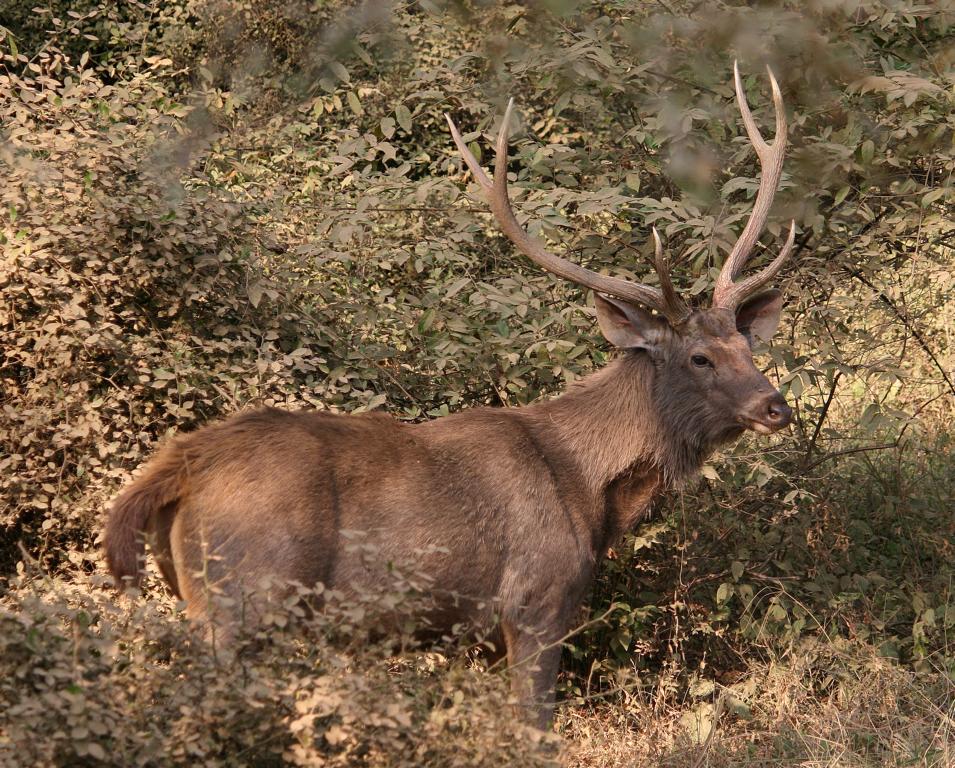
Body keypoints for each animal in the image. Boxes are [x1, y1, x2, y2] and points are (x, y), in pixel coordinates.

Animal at [106, 64, 800, 728]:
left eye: (748, 347)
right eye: (700, 357)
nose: (776, 407)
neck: (592, 492)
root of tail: (181, 465)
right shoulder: (537, 602)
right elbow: (535, 727)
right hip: (246, 595)